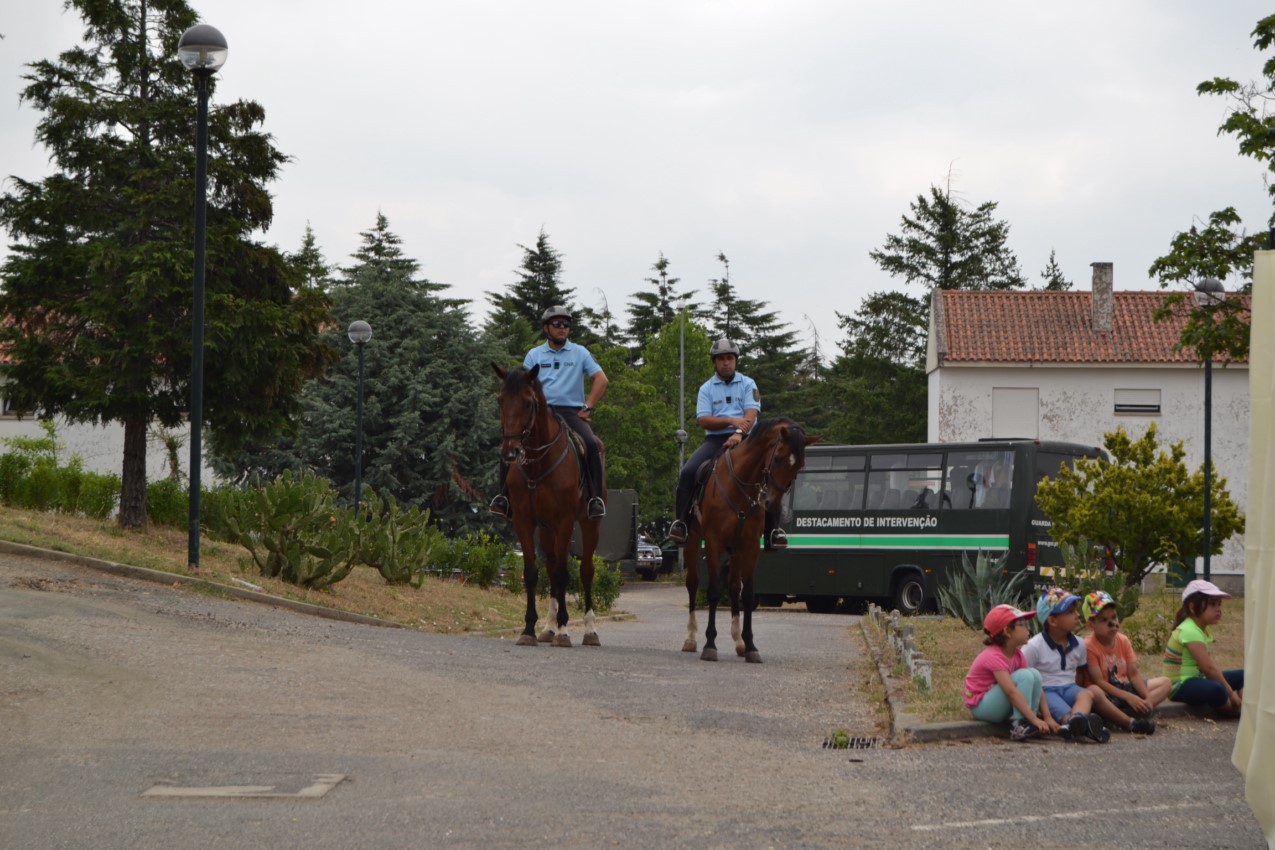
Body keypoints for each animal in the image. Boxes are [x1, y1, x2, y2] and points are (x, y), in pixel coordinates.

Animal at [489, 361, 604, 647]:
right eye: (500, 399)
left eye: (528, 402)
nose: (510, 451)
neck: (538, 463)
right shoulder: (524, 522)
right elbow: (532, 572)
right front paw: (529, 628)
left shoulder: (564, 521)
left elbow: (564, 572)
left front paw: (564, 630)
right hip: (545, 529)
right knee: (551, 568)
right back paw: (549, 627)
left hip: (589, 524)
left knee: (586, 570)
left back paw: (588, 630)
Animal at [688, 417, 816, 662]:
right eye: (777, 457)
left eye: (799, 466)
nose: (771, 504)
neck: (740, 484)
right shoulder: (713, 543)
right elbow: (714, 591)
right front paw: (710, 644)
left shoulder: (750, 547)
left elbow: (746, 595)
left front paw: (750, 646)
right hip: (692, 541)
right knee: (692, 584)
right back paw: (690, 639)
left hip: (736, 550)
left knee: (733, 588)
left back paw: (738, 642)